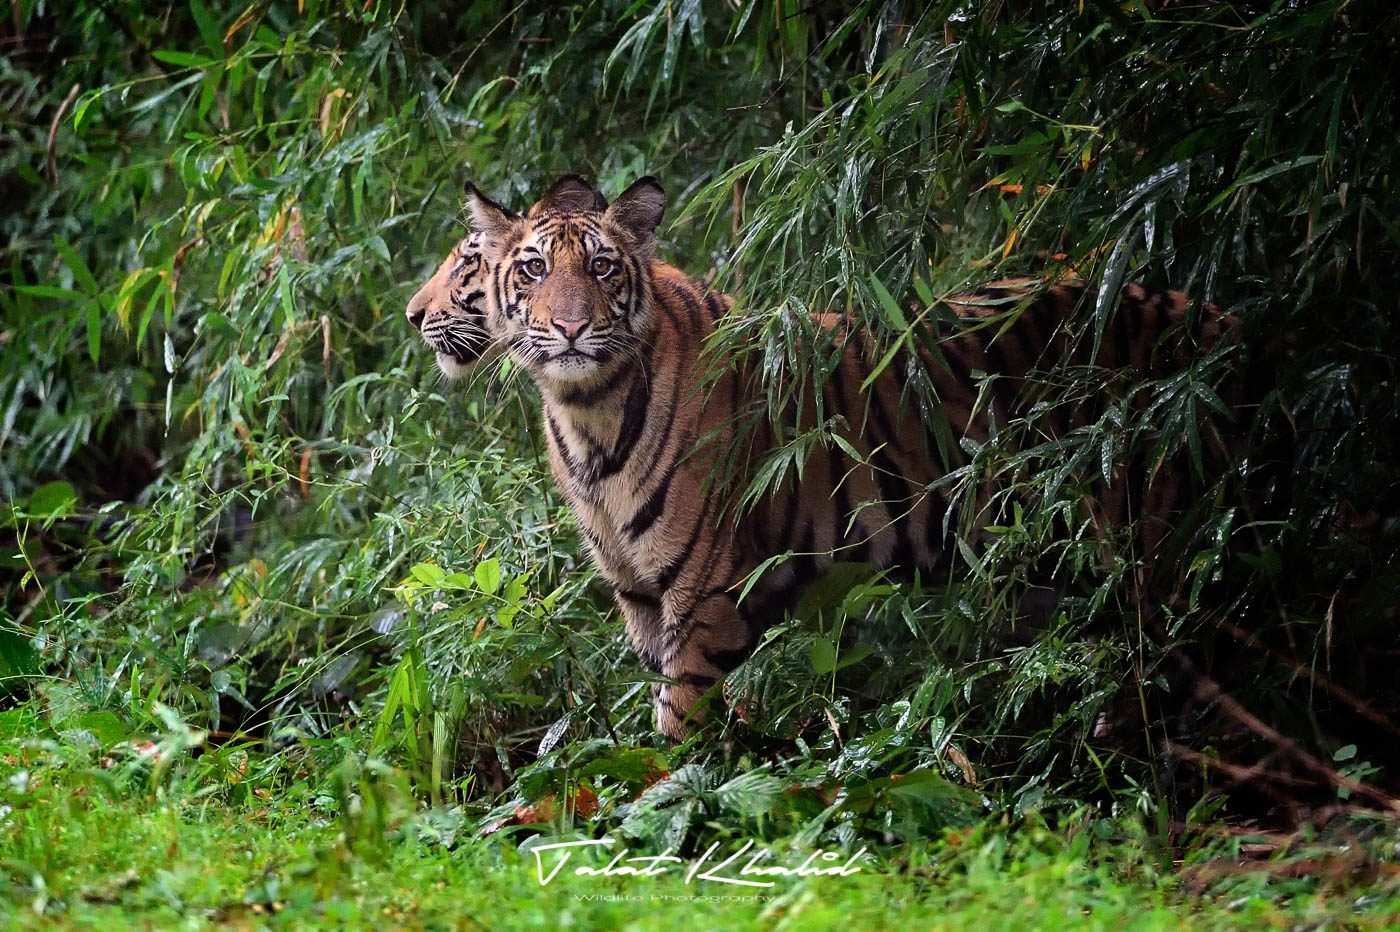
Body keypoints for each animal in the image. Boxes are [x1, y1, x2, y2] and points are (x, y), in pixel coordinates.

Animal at [411, 174, 1241, 739]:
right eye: (531, 269)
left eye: (602, 268)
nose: (416, 314)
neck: (583, 411)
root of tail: (1213, 316)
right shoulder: (639, 596)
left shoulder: (703, 595)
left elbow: (678, 724)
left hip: (1150, 541)